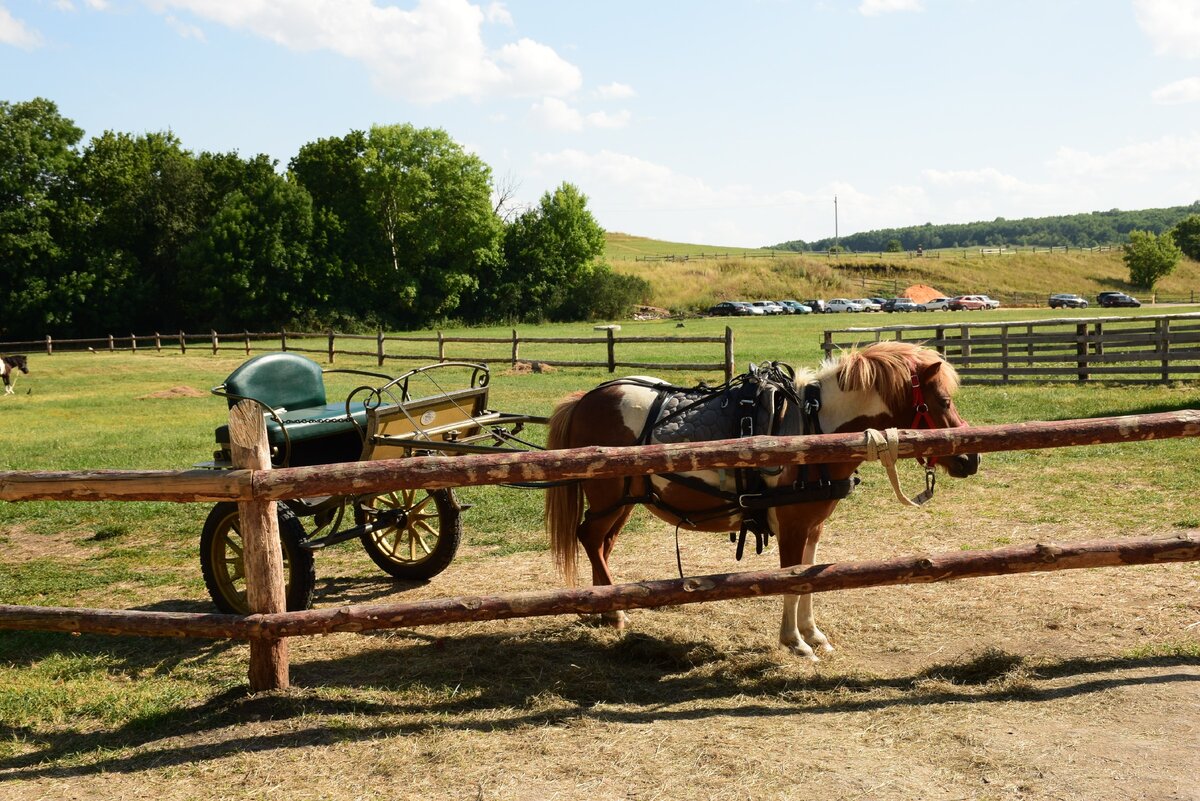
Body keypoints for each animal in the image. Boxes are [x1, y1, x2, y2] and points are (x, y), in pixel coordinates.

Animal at [549, 340, 979, 661]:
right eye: (942, 401)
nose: (970, 459)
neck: (813, 430)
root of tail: (586, 398)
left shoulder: (813, 527)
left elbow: (809, 578)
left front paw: (813, 633)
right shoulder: (791, 526)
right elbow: (791, 579)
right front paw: (795, 642)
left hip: (624, 500)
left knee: (601, 544)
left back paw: (602, 608)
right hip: (610, 499)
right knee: (590, 538)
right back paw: (614, 610)